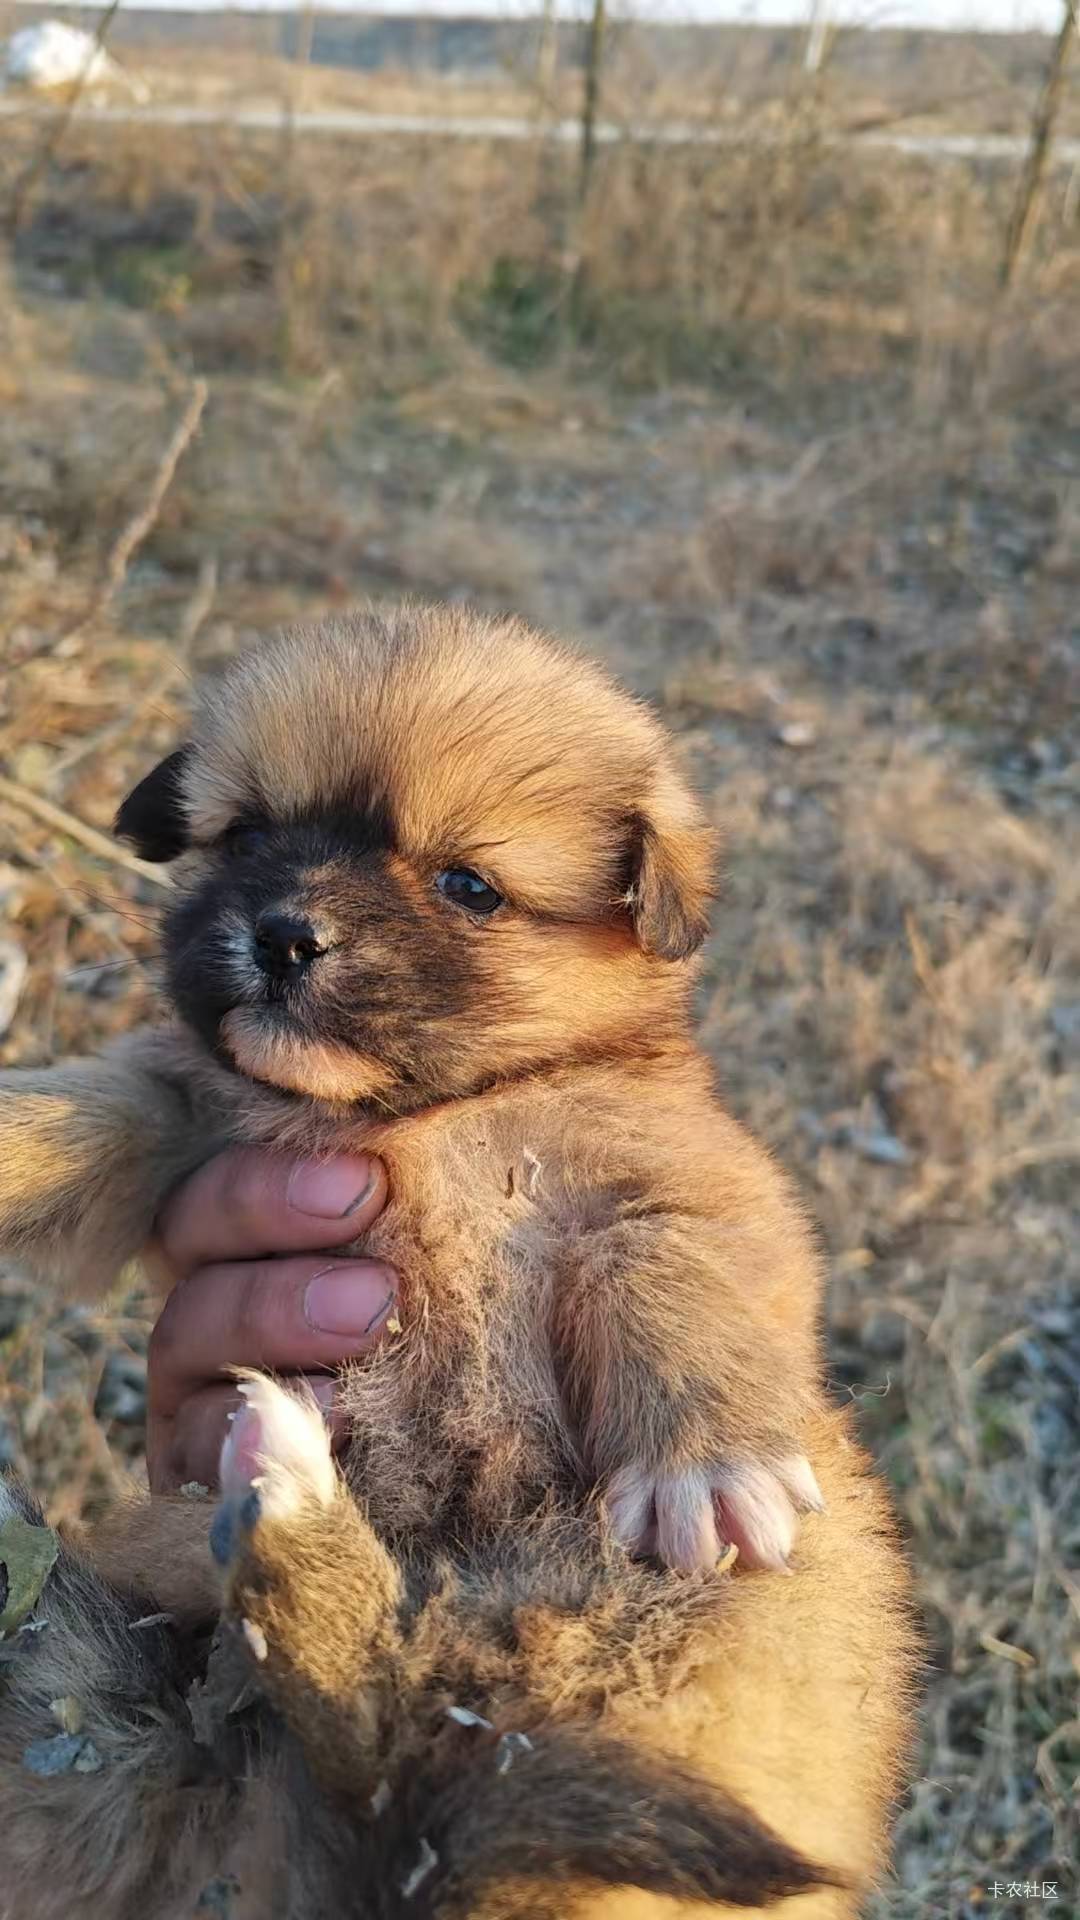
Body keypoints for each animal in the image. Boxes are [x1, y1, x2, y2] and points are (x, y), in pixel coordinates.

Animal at [0, 606, 914, 1912]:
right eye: (249, 834)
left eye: (466, 885)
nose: (284, 934)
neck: (418, 1112)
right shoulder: (188, 1117)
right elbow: (99, 1111)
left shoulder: (677, 1187)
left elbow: (667, 1274)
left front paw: (704, 1464)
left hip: (653, 1635)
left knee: (396, 1722)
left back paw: (284, 1497)